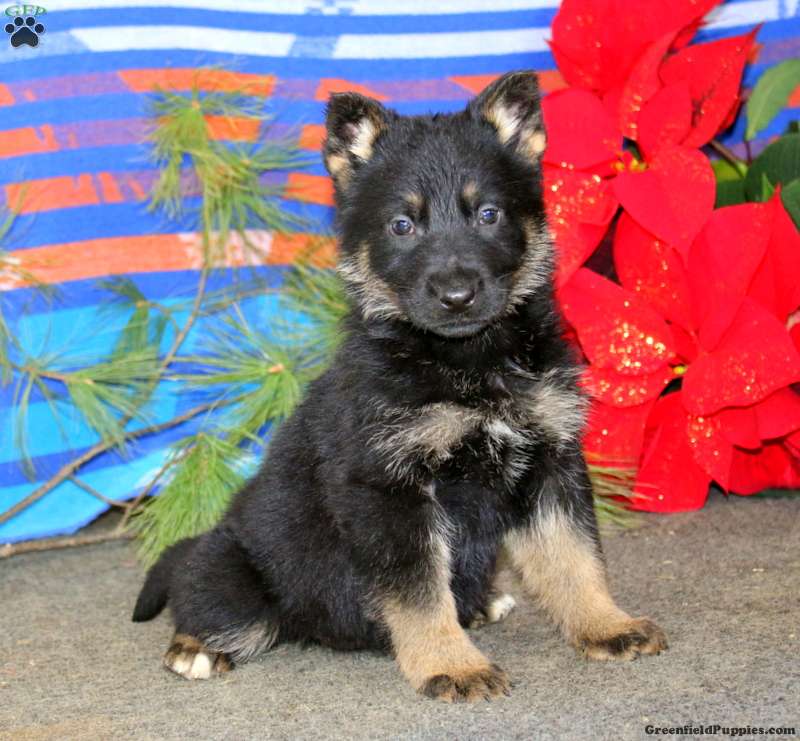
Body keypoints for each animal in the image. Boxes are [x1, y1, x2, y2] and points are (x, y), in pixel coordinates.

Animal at [132, 71, 667, 702]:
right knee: (214, 606)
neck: (466, 363)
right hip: (239, 579)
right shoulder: (390, 490)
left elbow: (574, 558)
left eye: (488, 215)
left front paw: (604, 624)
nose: (457, 295)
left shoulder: (550, 462)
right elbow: (420, 593)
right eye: (403, 225)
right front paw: (450, 664)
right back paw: (196, 648)